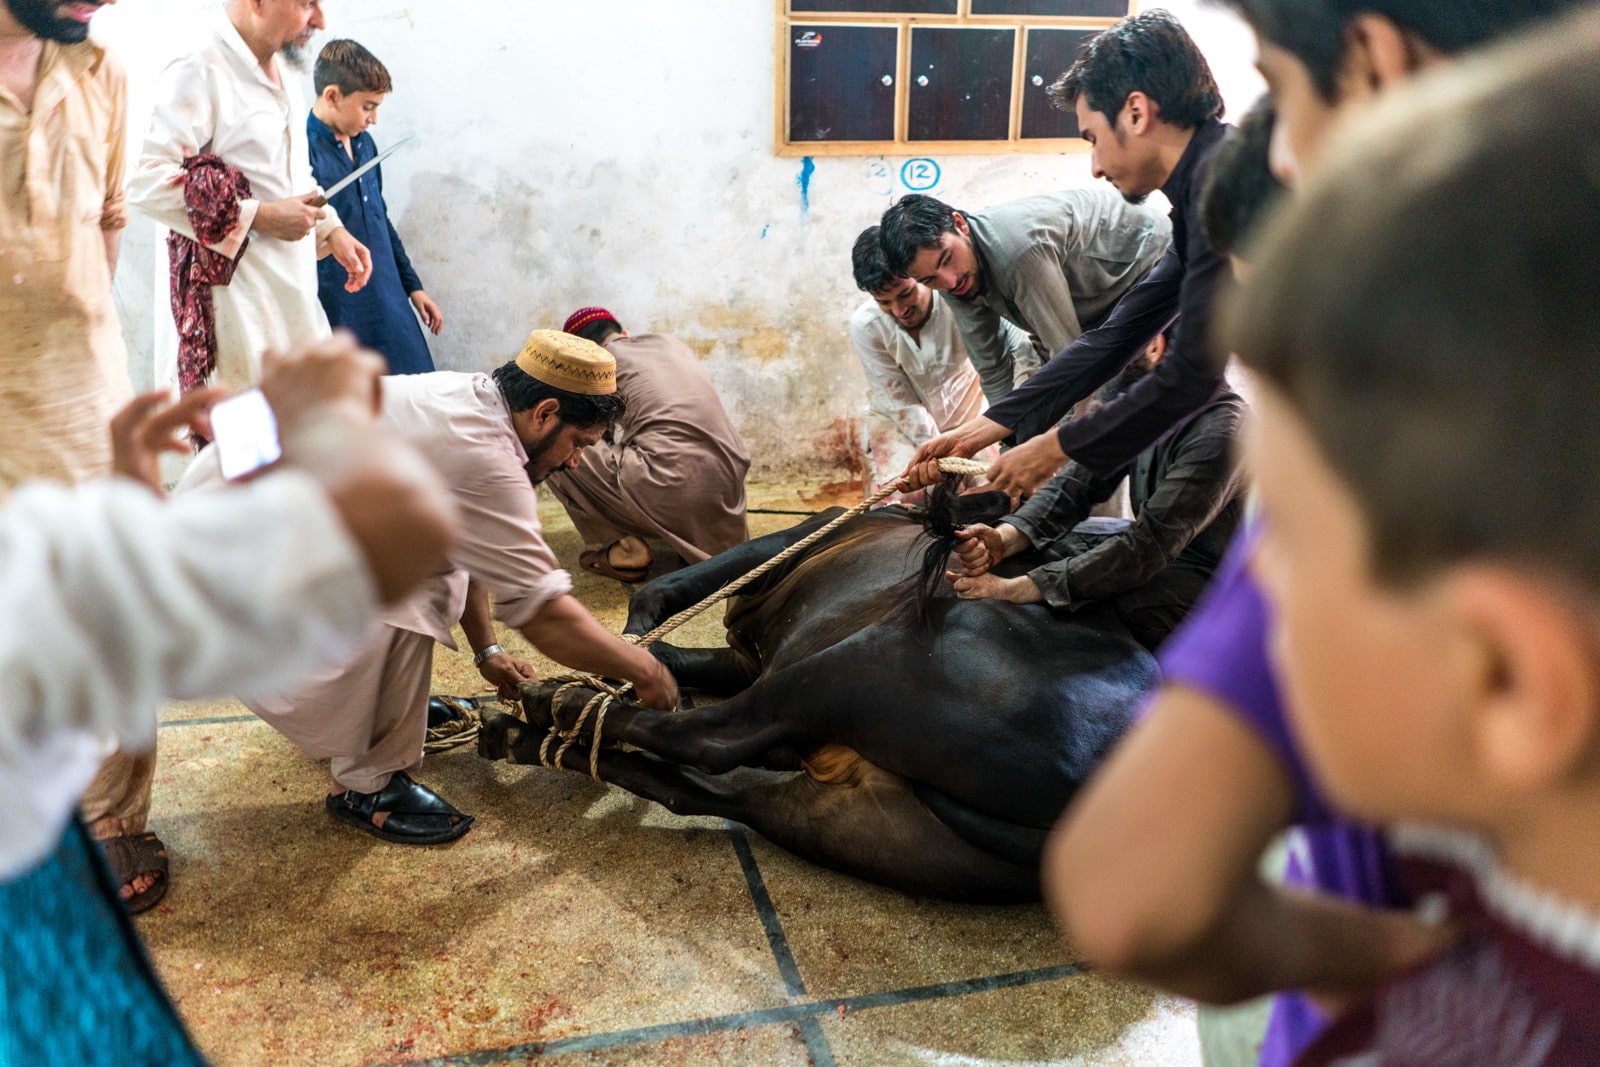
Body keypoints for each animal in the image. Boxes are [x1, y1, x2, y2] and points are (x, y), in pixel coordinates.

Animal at [476, 495, 1164, 908]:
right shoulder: (744, 659)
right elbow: (669, 658)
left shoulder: (782, 548)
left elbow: (666, 594)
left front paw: (617, 652)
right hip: (850, 824)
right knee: (702, 788)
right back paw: (520, 735)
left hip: (854, 666)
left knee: (710, 739)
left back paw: (553, 705)